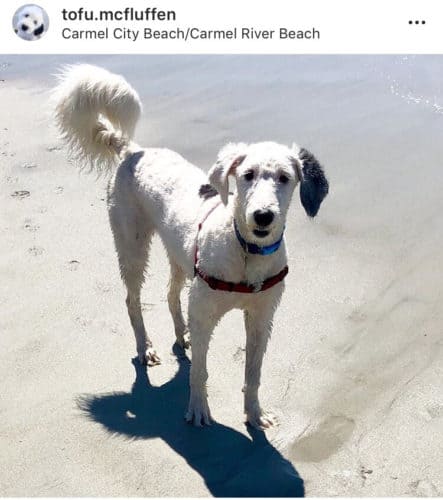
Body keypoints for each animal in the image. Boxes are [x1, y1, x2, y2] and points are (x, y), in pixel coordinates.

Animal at [53, 64, 330, 428]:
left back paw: (179, 334)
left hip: (179, 257)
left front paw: (255, 413)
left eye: (285, 177)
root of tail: (133, 151)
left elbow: (253, 373)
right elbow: (199, 370)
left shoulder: (261, 318)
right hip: (132, 247)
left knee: (171, 295)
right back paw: (145, 348)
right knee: (132, 301)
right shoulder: (203, 313)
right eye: (247, 174)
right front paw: (199, 409)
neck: (246, 253)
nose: (262, 216)